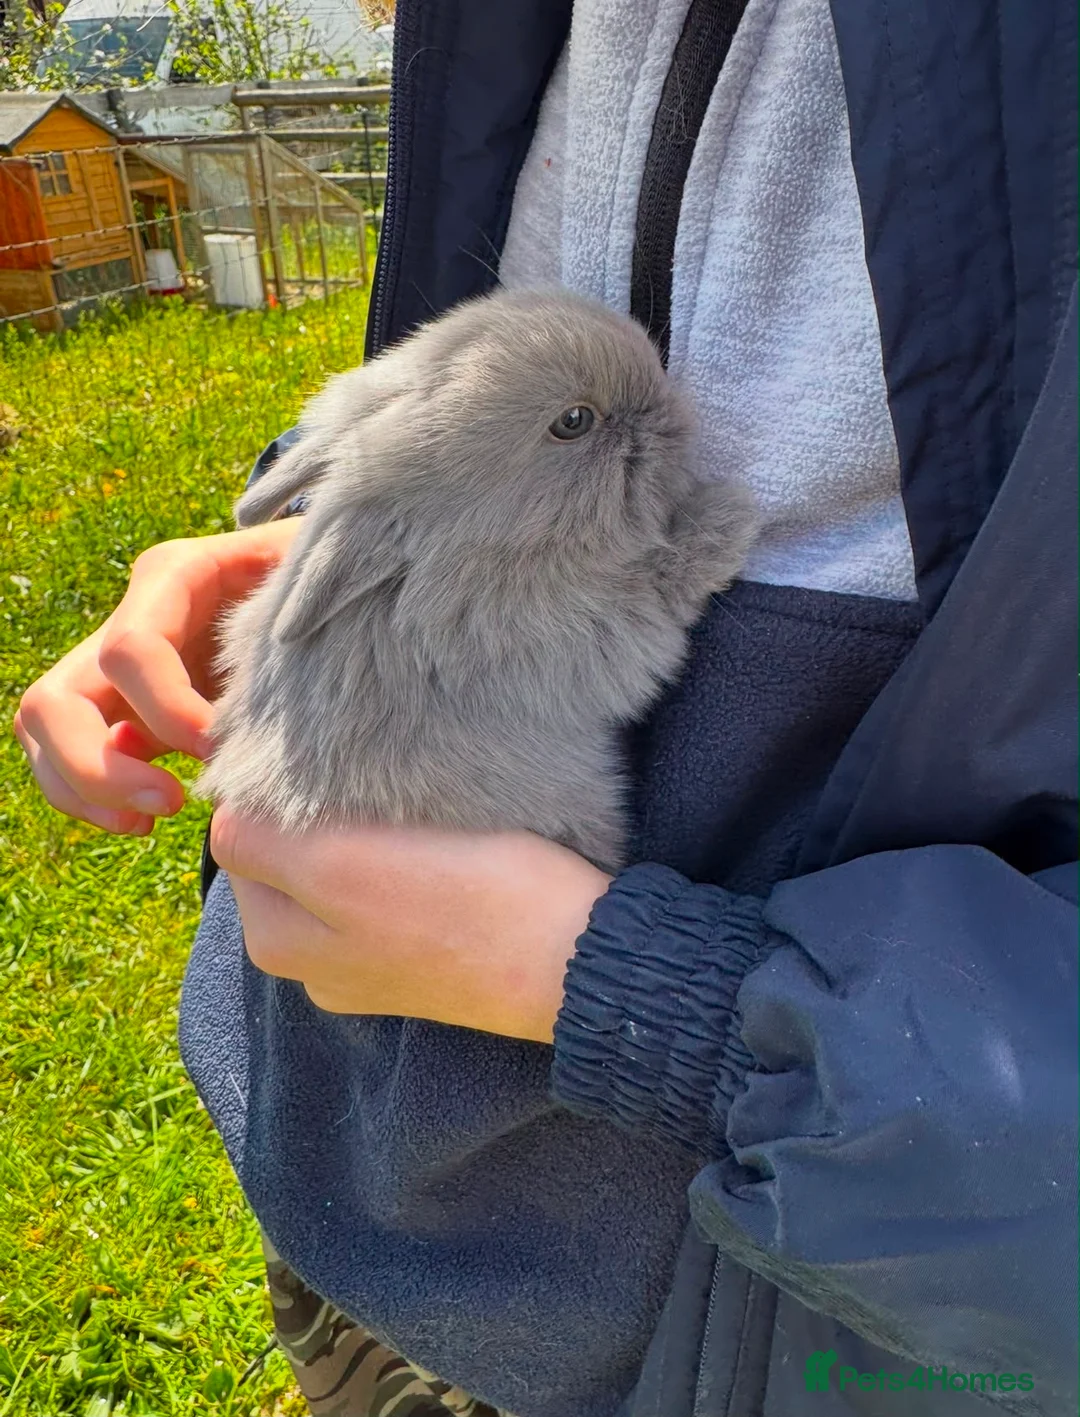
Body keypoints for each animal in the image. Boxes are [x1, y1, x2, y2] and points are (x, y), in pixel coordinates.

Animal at [195, 288, 757, 872]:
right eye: (573, 421)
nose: (669, 408)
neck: (482, 544)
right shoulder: (584, 632)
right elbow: (665, 584)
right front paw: (730, 512)